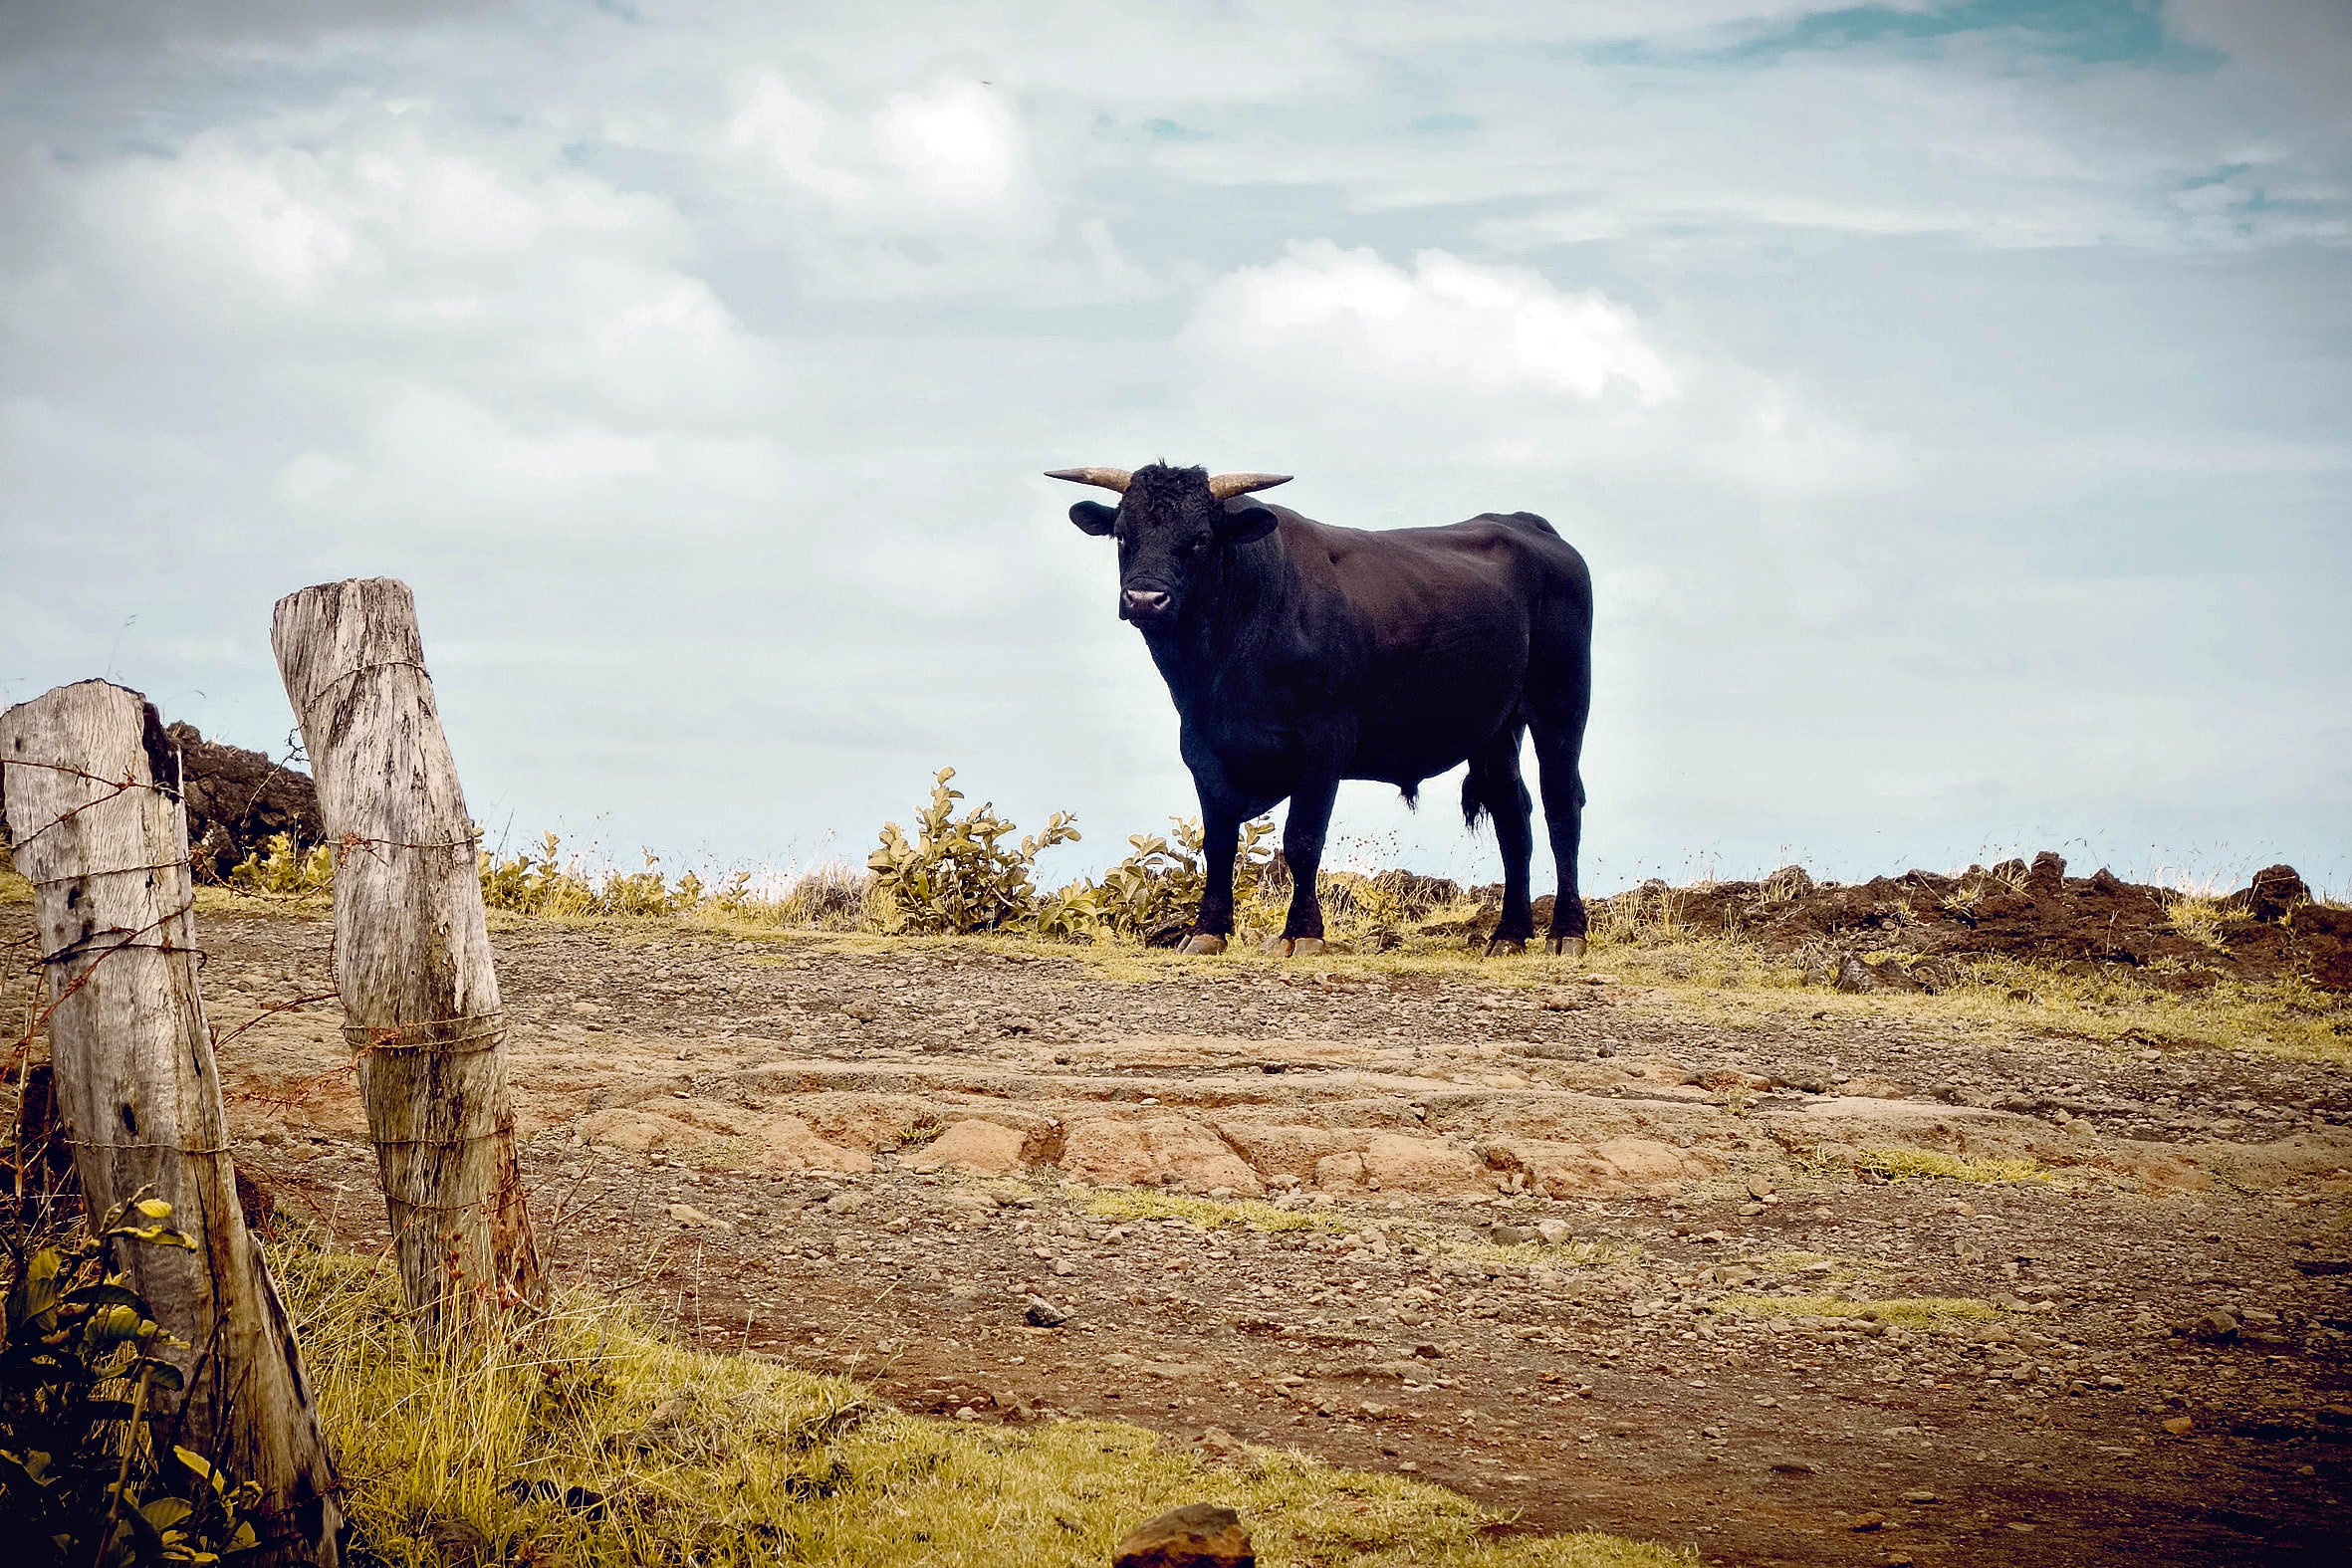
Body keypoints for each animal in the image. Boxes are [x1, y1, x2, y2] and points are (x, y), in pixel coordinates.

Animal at [1054, 460, 1589, 964]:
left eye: (1200, 539)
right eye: (1124, 534)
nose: (1145, 598)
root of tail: (1525, 524)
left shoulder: (1323, 743)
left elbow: (1303, 838)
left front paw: (1303, 932)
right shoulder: (1203, 748)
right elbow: (1218, 842)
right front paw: (1208, 931)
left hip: (1561, 705)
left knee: (1561, 806)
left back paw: (1566, 932)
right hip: (1498, 729)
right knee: (1512, 815)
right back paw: (1509, 935)